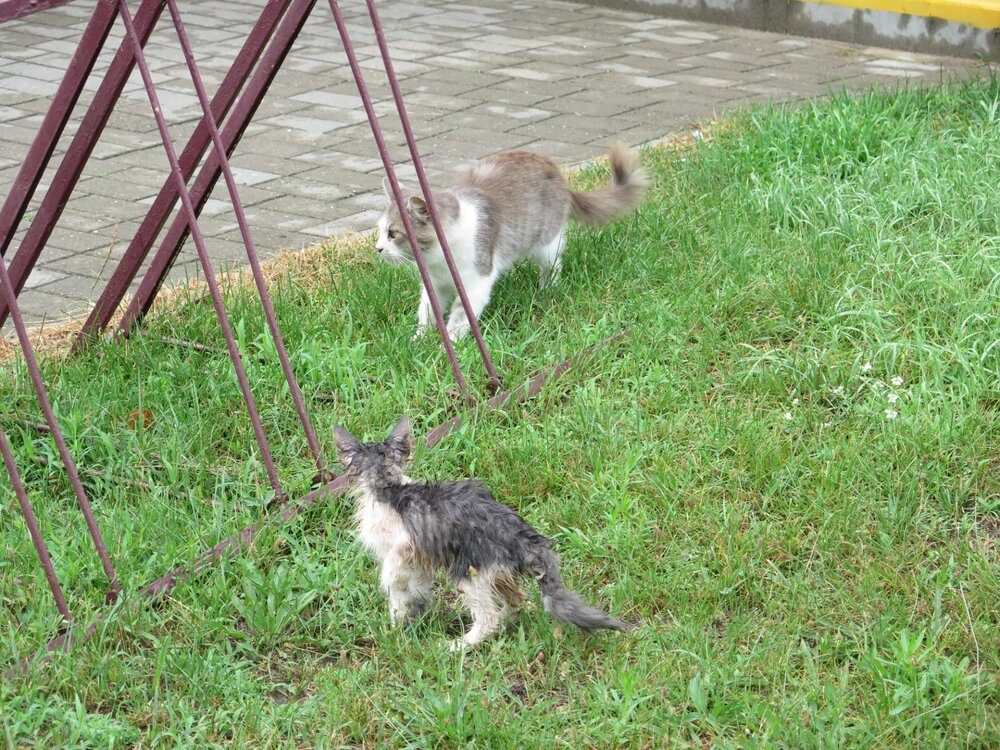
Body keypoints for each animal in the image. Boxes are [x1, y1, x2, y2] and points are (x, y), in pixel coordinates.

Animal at [333, 416, 627, 651]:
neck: (388, 486)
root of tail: (523, 536)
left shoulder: (402, 548)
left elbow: (394, 584)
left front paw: (395, 623)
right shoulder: (419, 560)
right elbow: (411, 591)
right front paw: (408, 615)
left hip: (467, 573)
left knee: (489, 618)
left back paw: (458, 646)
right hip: (494, 573)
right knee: (517, 600)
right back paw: (507, 624)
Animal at [374, 143, 647, 340]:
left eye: (393, 233)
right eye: (379, 231)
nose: (377, 249)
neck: (439, 260)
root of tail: (556, 169)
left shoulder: (477, 281)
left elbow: (461, 316)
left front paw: (449, 344)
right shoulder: (435, 283)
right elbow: (428, 312)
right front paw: (418, 340)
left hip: (546, 243)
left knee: (553, 264)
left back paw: (547, 289)